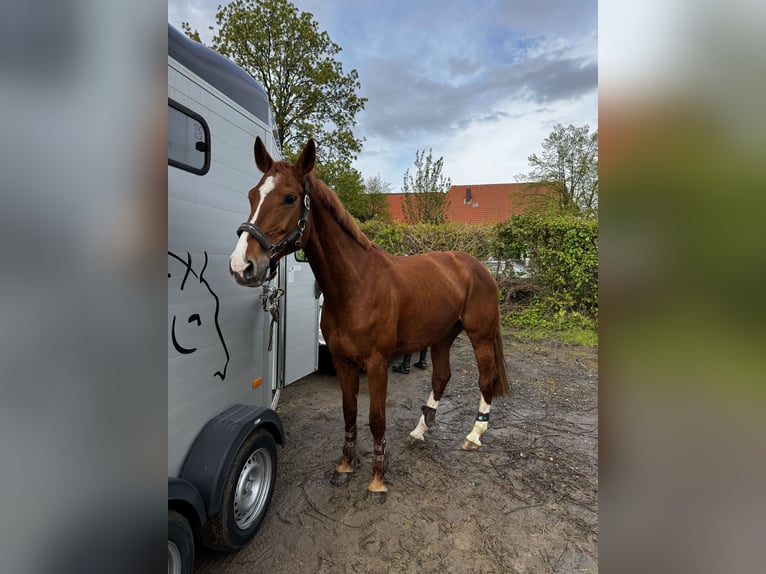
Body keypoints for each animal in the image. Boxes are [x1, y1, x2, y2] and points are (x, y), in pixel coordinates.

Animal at [231, 138, 512, 500]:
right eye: (253, 195)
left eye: (289, 197)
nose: (242, 265)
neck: (355, 285)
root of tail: (477, 265)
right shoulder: (342, 361)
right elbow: (349, 412)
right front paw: (345, 466)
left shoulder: (377, 363)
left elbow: (376, 418)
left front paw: (378, 479)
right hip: (442, 337)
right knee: (441, 377)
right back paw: (420, 430)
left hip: (480, 335)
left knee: (485, 379)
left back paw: (474, 435)